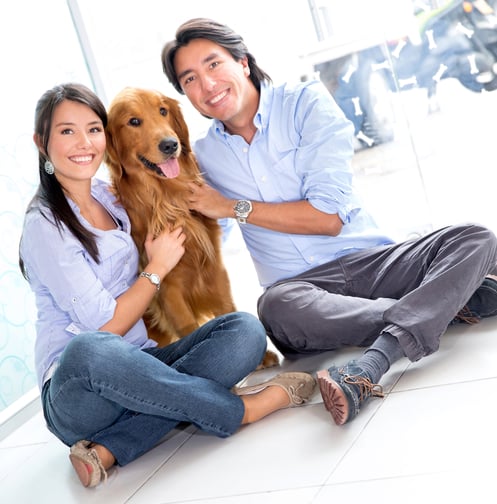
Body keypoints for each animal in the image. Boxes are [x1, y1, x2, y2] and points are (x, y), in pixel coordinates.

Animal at [104, 87, 280, 366]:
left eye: (163, 110)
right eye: (133, 121)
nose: (170, 144)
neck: (167, 198)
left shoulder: (214, 267)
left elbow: (227, 307)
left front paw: (261, 356)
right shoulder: (168, 289)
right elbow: (188, 327)